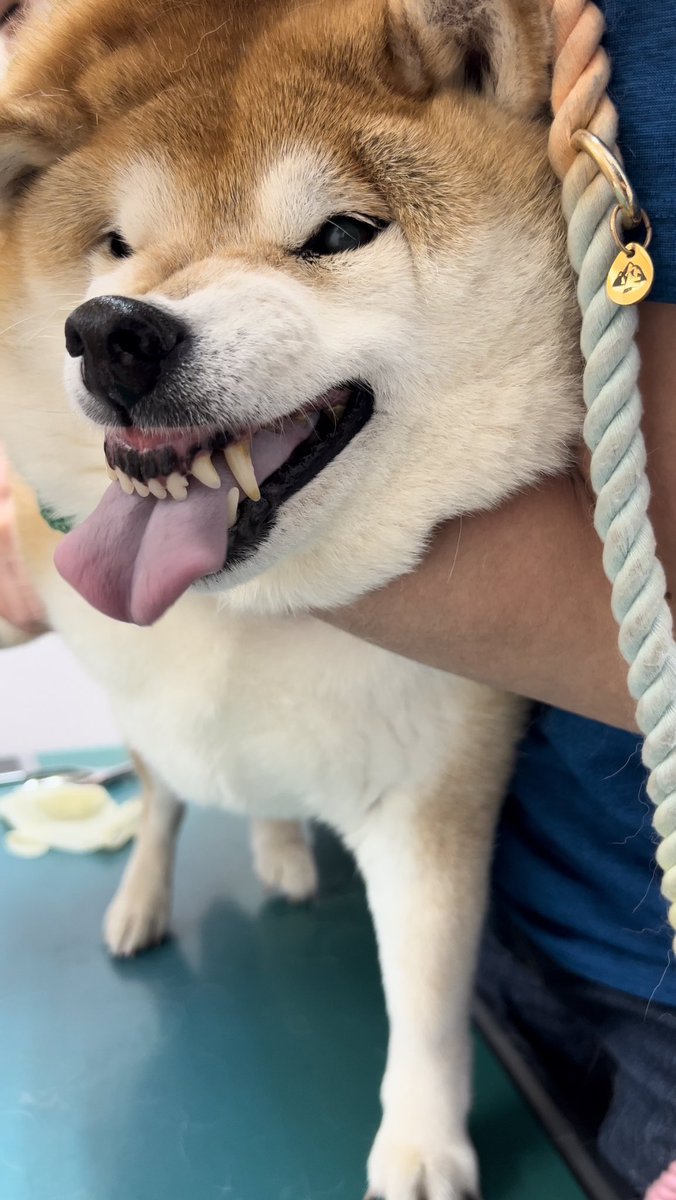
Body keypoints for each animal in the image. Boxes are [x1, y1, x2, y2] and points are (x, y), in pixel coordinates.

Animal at [0, 1, 581, 1195]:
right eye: (115, 245)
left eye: (339, 234)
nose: (114, 330)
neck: (249, 613)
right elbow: (162, 804)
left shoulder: (433, 797)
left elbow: (427, 999)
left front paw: (420, 1146)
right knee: (164, 800)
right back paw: (145, 898)